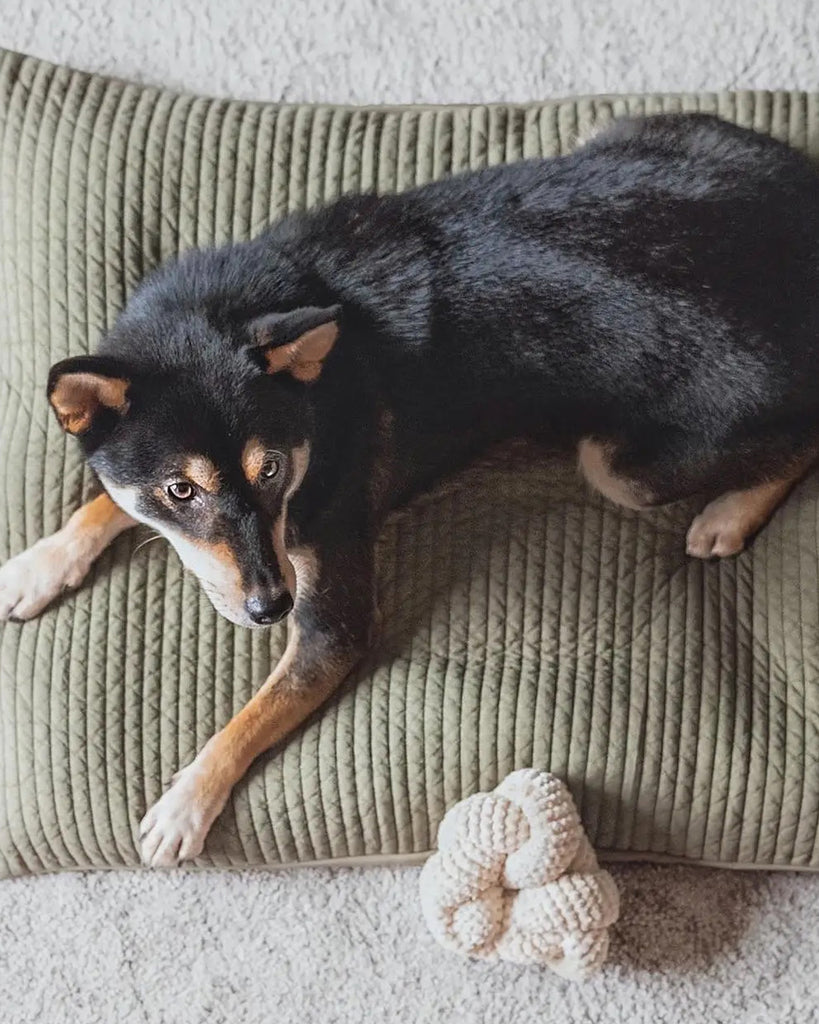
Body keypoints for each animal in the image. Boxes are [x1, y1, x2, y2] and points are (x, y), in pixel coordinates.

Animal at [1, 112, 818, 864]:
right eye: (178, 491)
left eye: (272, 470)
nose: (272, 608)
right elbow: (104, 499)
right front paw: (39, 565)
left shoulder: (332, 626)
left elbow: (252, 716)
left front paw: (186, 801)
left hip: (617, 464)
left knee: (800, 438)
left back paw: (726, 515)